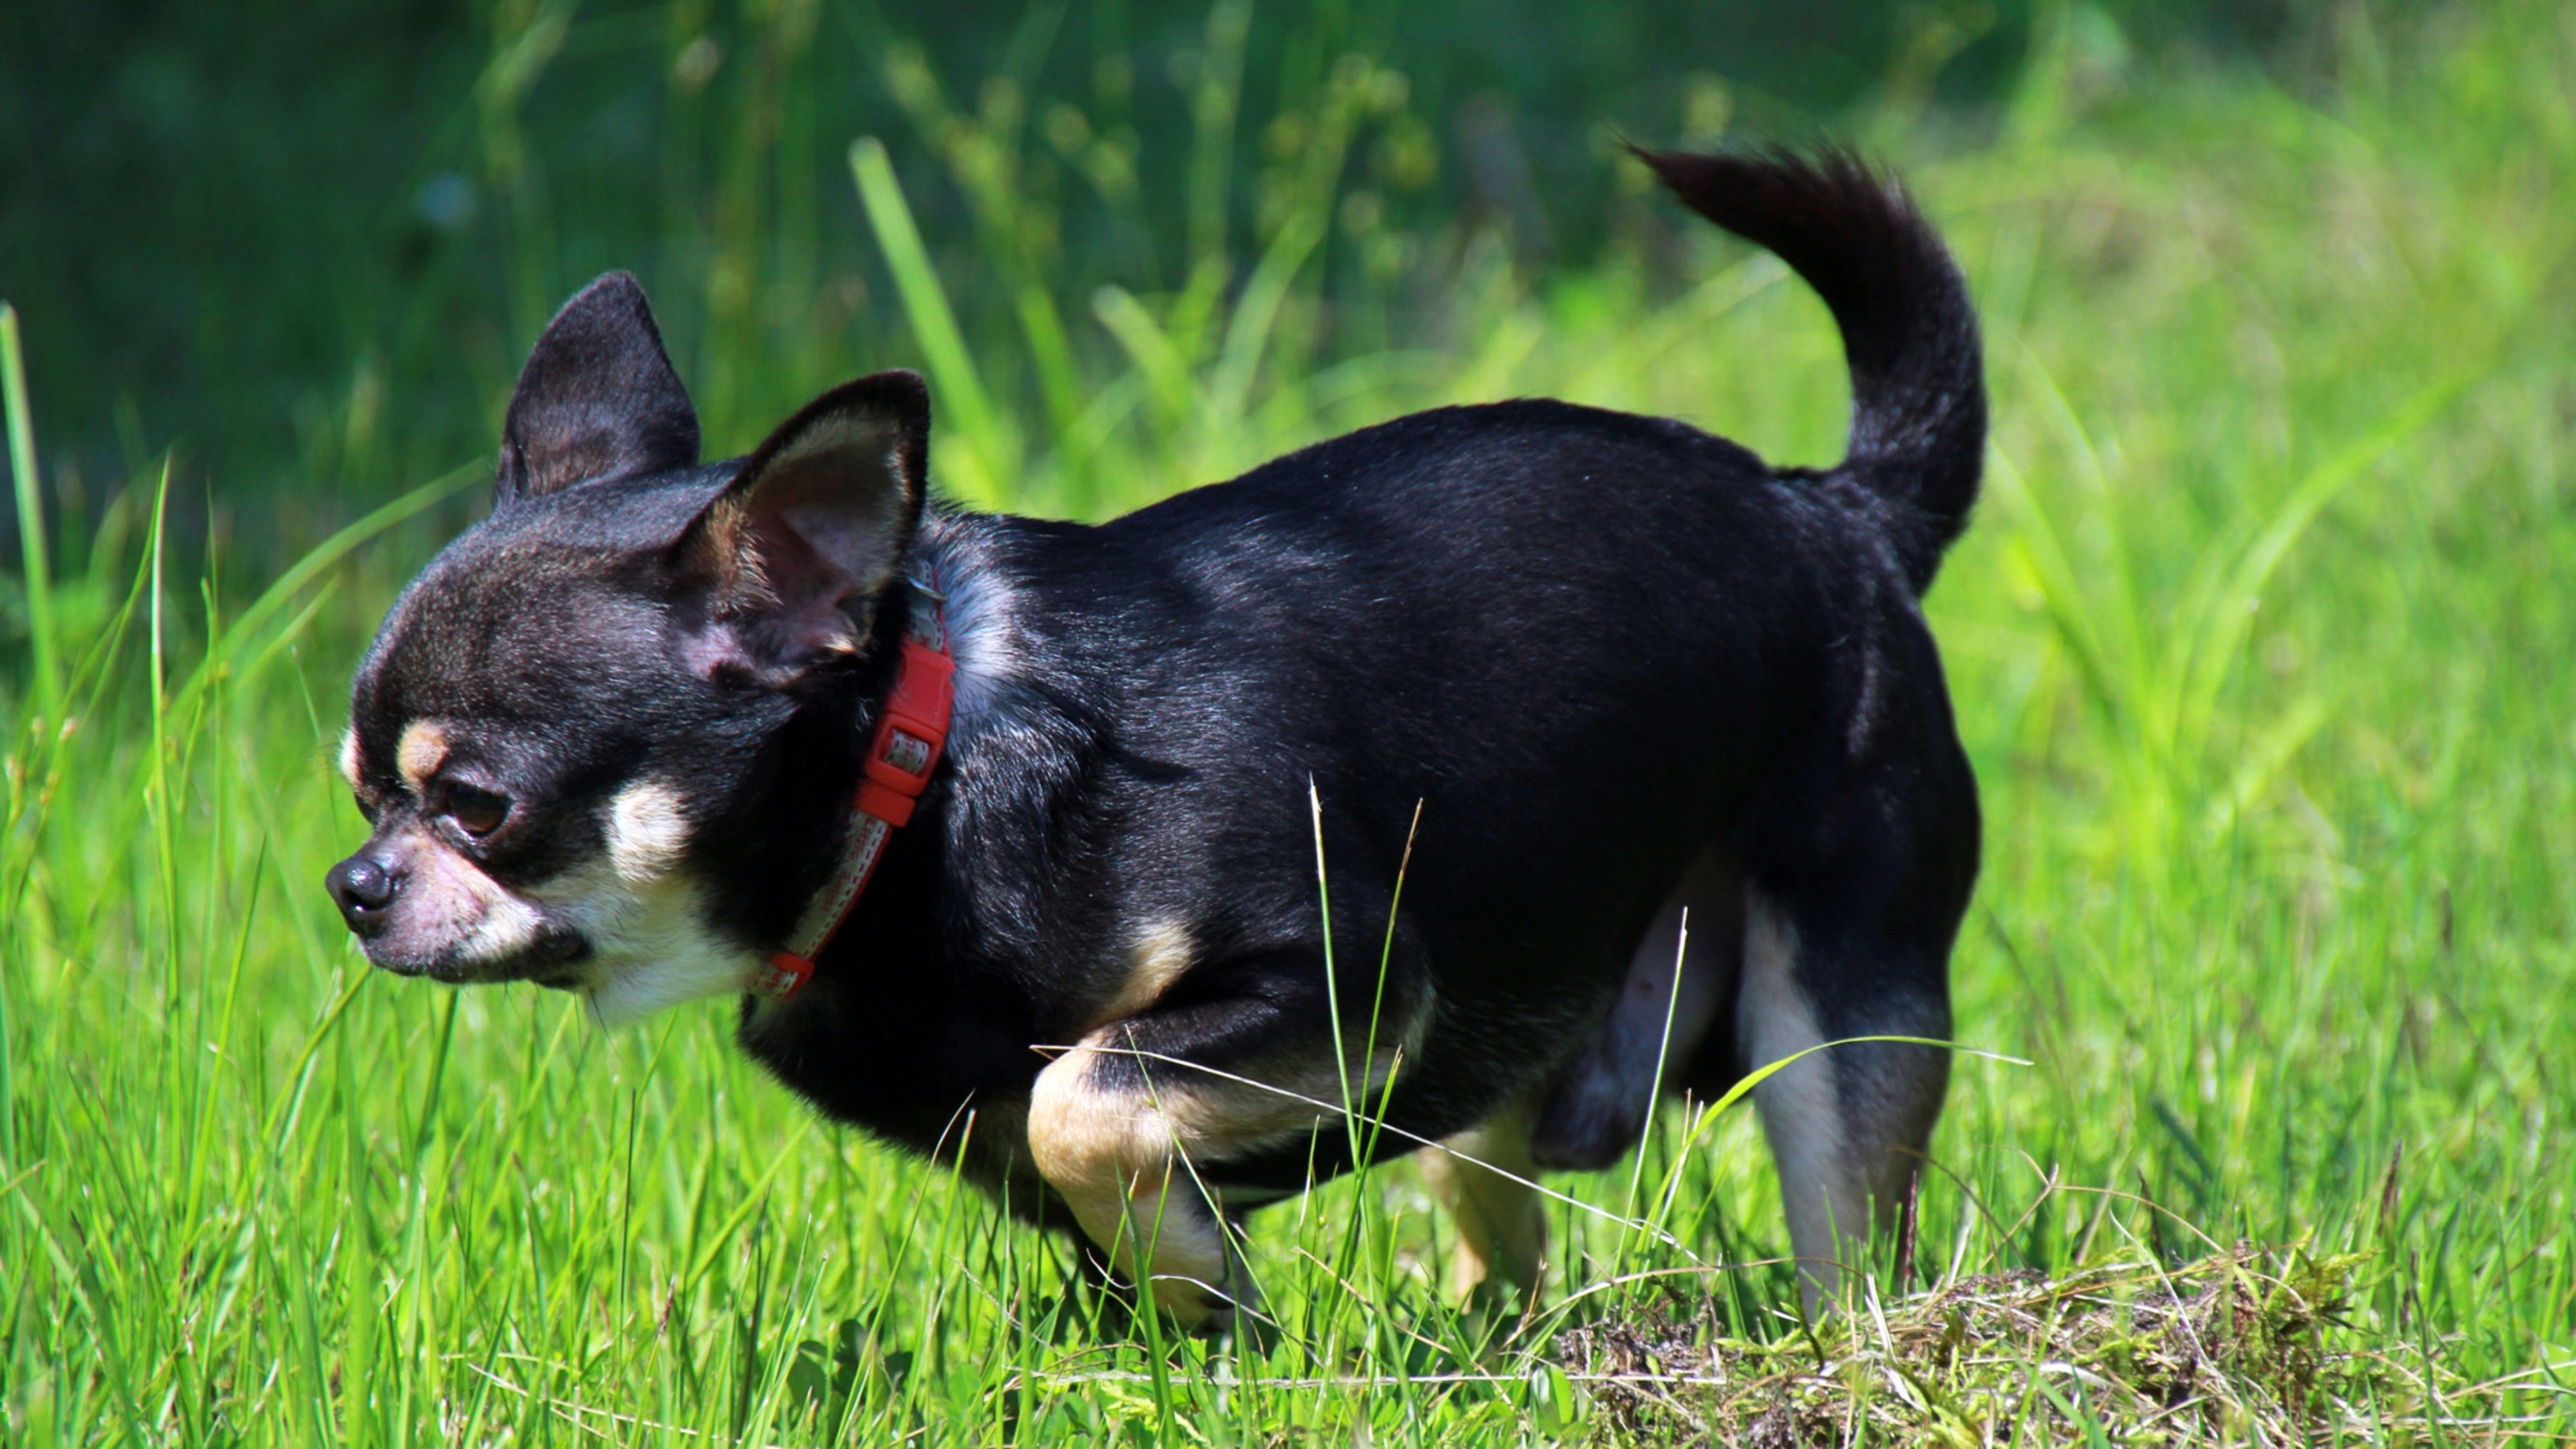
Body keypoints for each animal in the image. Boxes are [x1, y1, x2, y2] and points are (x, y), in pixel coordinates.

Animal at [322, 147, 1968, 1320]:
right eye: (358, 799)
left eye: (477, 805)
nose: (353, 889)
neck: (928, 807)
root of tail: (1834, 511)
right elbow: (1090, 1173)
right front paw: (1197, 1331)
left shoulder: (1341, 987)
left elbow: (1084, 1101)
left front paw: (1203, 1284)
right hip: (1508, 1071)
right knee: (1503, 1227)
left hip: (1839, 1012)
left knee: (1846, 1233)